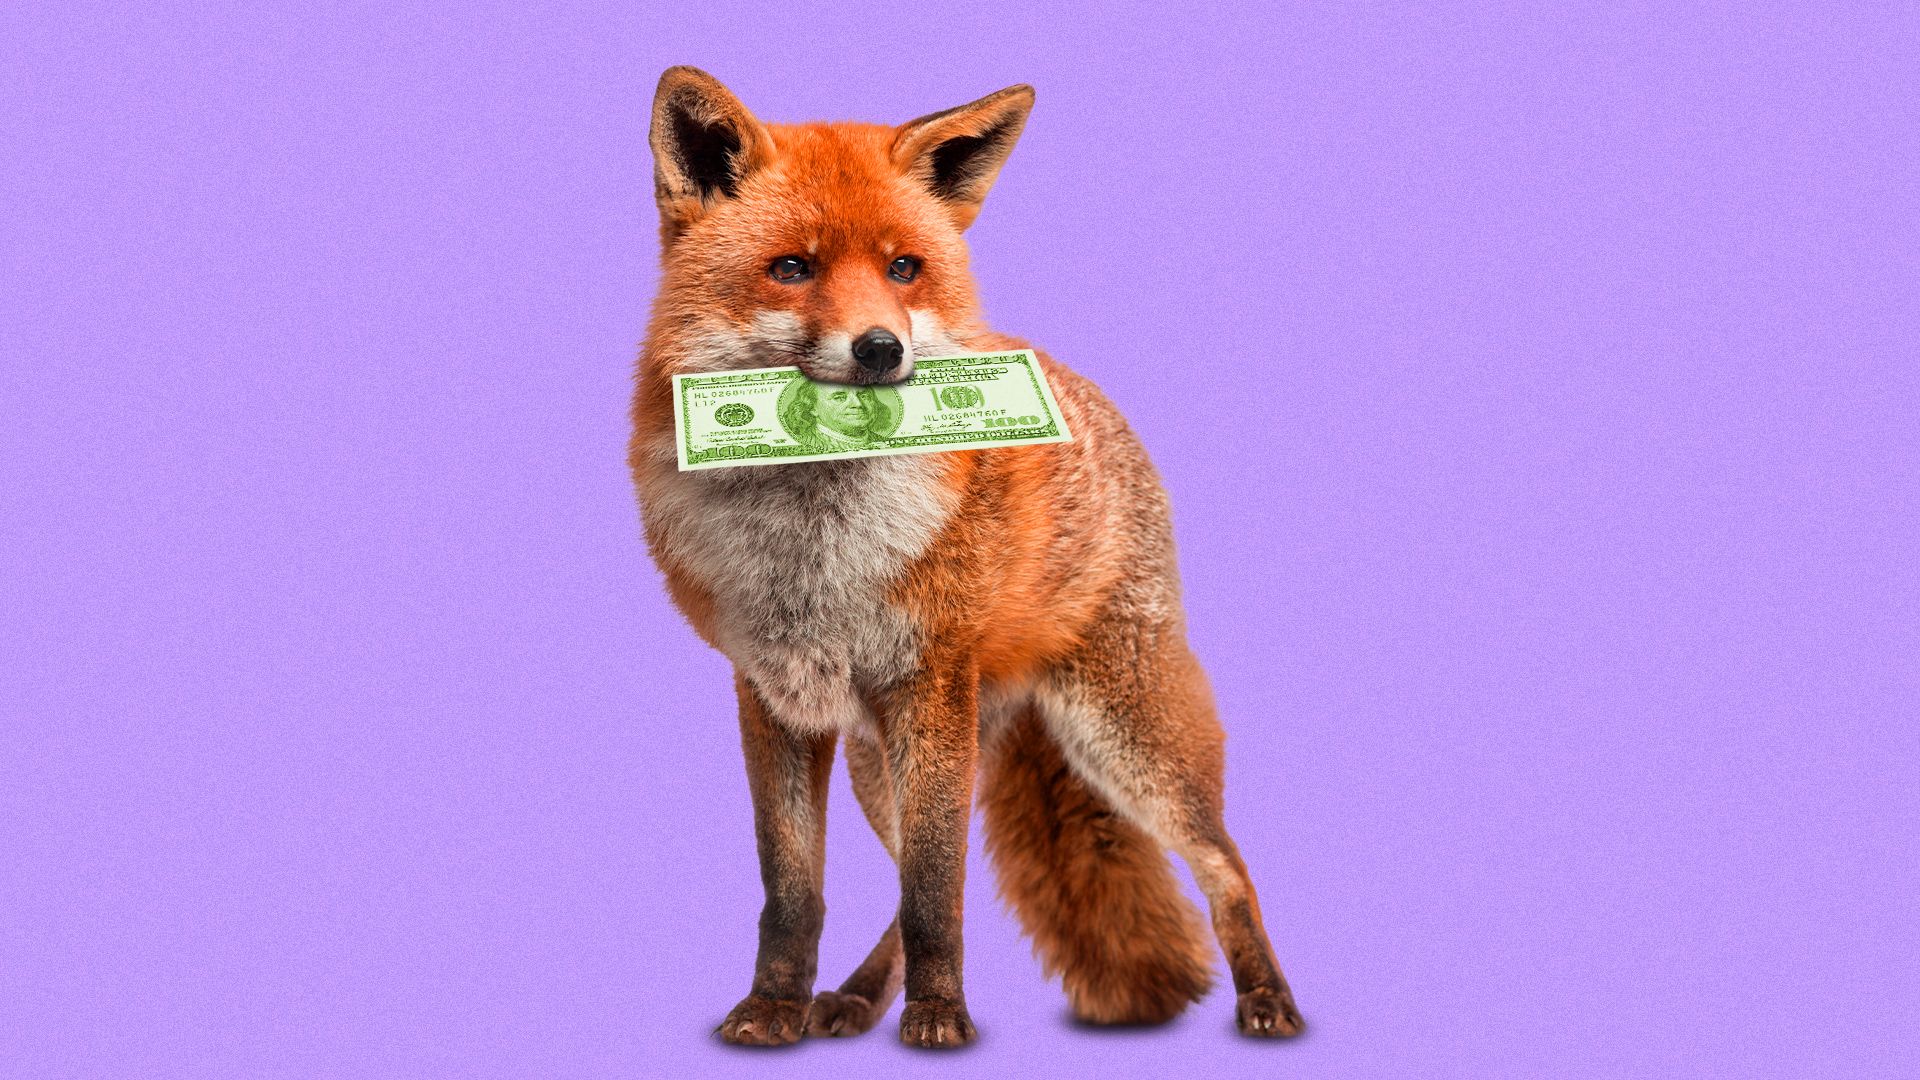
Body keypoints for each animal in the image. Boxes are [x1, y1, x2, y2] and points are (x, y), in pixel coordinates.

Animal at [628, 66, 1305, 1049]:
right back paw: (853, 998)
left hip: (1122, 741)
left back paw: (1268, 997)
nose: (882, 350)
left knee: (1228, 865)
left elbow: (935, 889)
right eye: (793, 267)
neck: (814, 549)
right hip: (885, 762)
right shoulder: (775, 697)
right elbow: (795, 891)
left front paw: (941, 1016)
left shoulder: (929, 684)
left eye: (904, 268)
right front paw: (774, 1008)